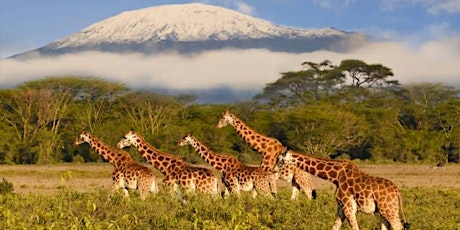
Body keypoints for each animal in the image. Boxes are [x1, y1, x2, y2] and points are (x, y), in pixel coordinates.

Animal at [276, 150, 410, 229]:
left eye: (279, 160)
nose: (274, 169)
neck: (335, 176)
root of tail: (398, 191)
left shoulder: (348, 207)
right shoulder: (341, 207)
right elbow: (335, 227)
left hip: (389, 210)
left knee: (398, 226)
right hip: (383, 211)